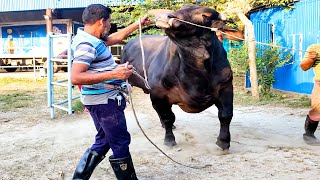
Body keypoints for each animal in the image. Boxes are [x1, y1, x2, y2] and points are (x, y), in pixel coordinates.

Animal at [121, 4, 241, 150]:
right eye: (183, 7)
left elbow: (226, 115)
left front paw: (223, 142)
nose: (168, 16)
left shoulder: (226, 87)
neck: (197, 74)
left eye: (205, 16)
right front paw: (169, 140)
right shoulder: (158, 93)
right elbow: (168, 117)